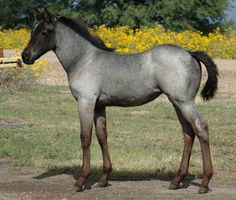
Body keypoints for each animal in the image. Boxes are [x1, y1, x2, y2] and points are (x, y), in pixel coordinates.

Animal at [21, 9, 218, 194]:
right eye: (32, 30)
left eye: (44, 32)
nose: (25, 56)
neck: (84, 60)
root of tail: (190, 53)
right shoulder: (99, 106)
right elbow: (102, 136)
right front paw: (103, 179)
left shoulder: (86, 102)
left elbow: (85, 137)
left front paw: (81, 181)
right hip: (177, 103)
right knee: (188, 133)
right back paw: (176, 181)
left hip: (184, 102)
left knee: (200, 127)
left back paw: (204, 182)